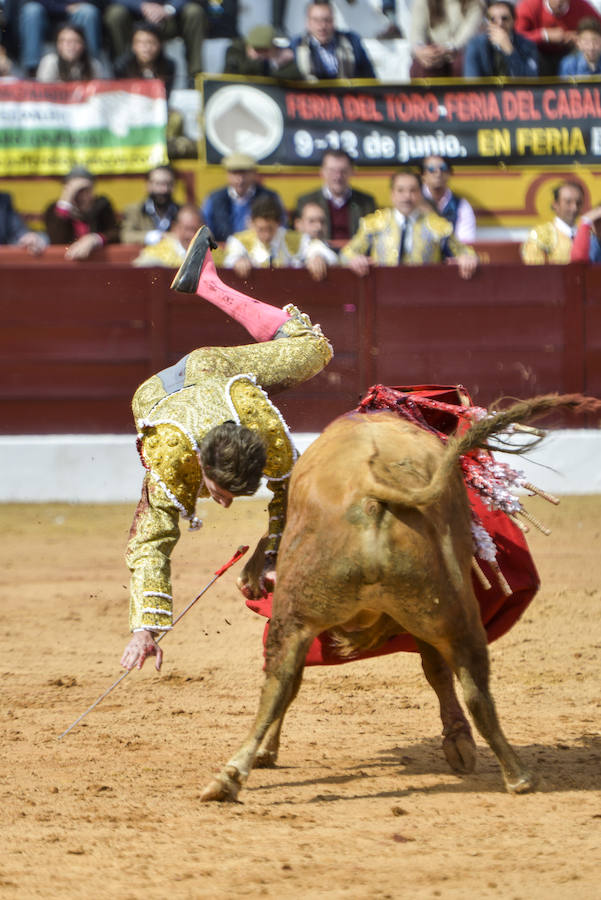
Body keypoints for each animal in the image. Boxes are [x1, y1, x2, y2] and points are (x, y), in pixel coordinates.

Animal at [203, 394, 600, 800]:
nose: (245, 581)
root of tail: (371, 488)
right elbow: (437, 670)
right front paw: (458, 744)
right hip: (453, 612)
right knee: (476, 690)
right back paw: (519, 776)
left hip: (299, 616)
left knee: (280, 681)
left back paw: (230, 776)